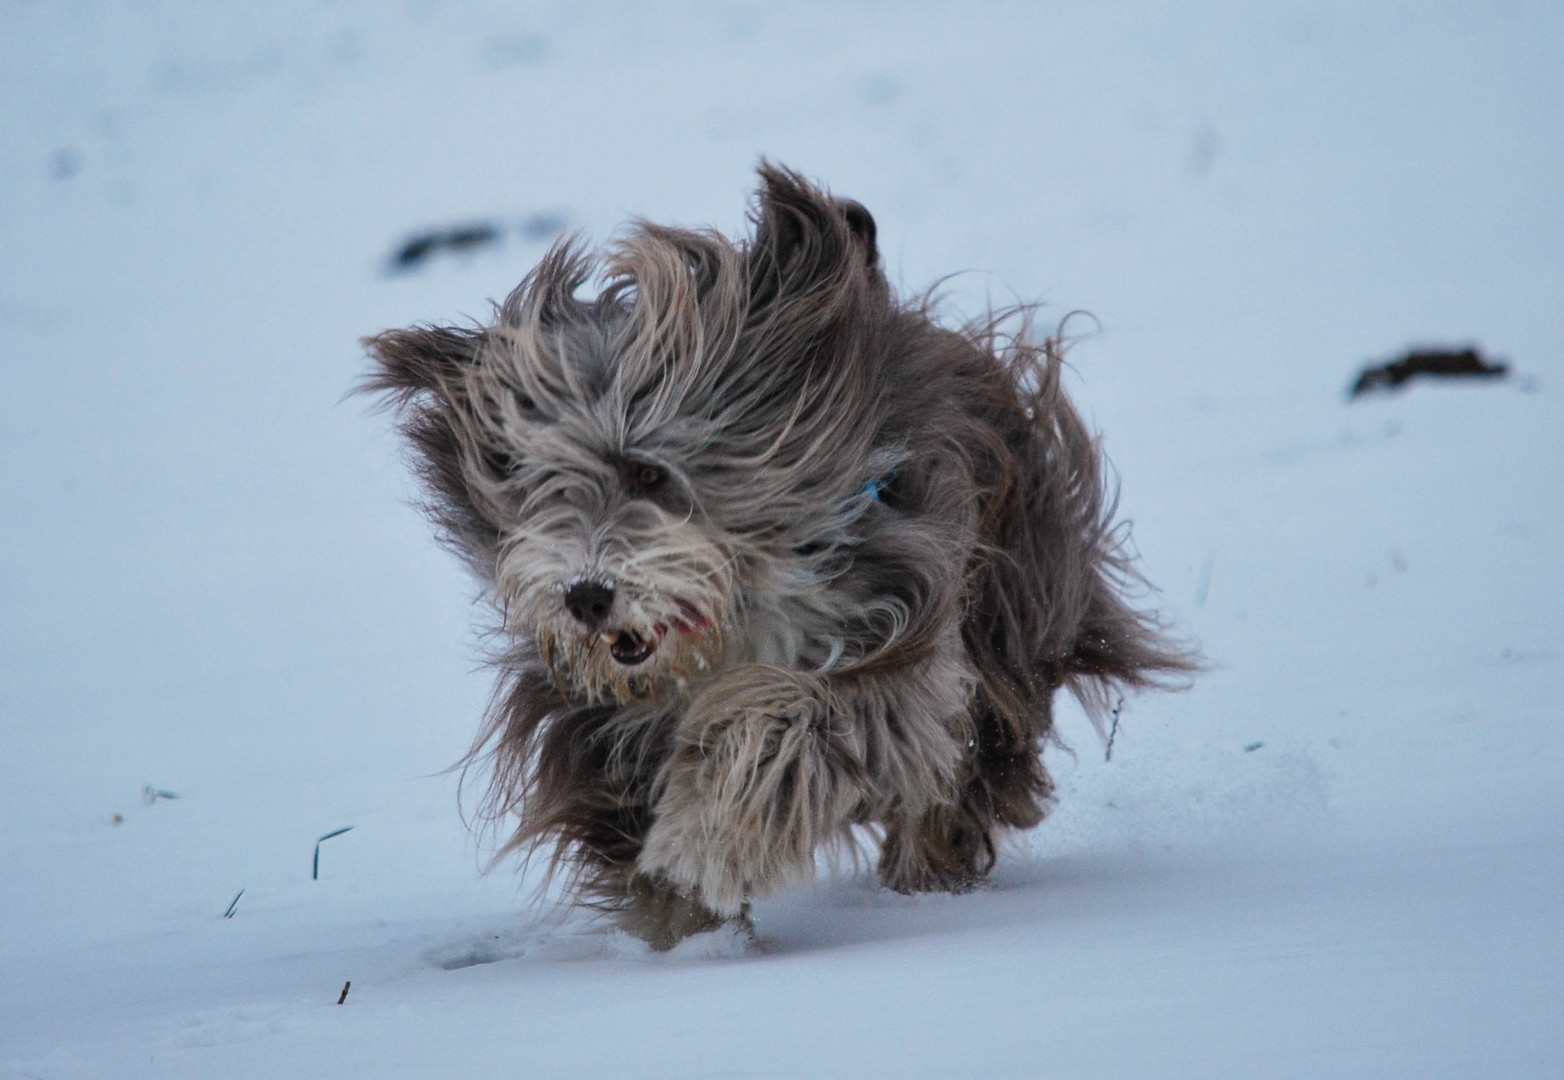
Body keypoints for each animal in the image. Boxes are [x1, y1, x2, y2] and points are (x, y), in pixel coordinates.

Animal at [365, 164, 1188, 950]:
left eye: (649, 474)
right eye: (542, 489)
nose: (586, 595)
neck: (736, 621)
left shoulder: (895, 637)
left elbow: (791, 724)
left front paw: (704, 843)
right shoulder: (586, 713)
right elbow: (622, 811)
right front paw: (682, 928)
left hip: (1007, 619)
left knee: (971, 766)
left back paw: (929, 872)